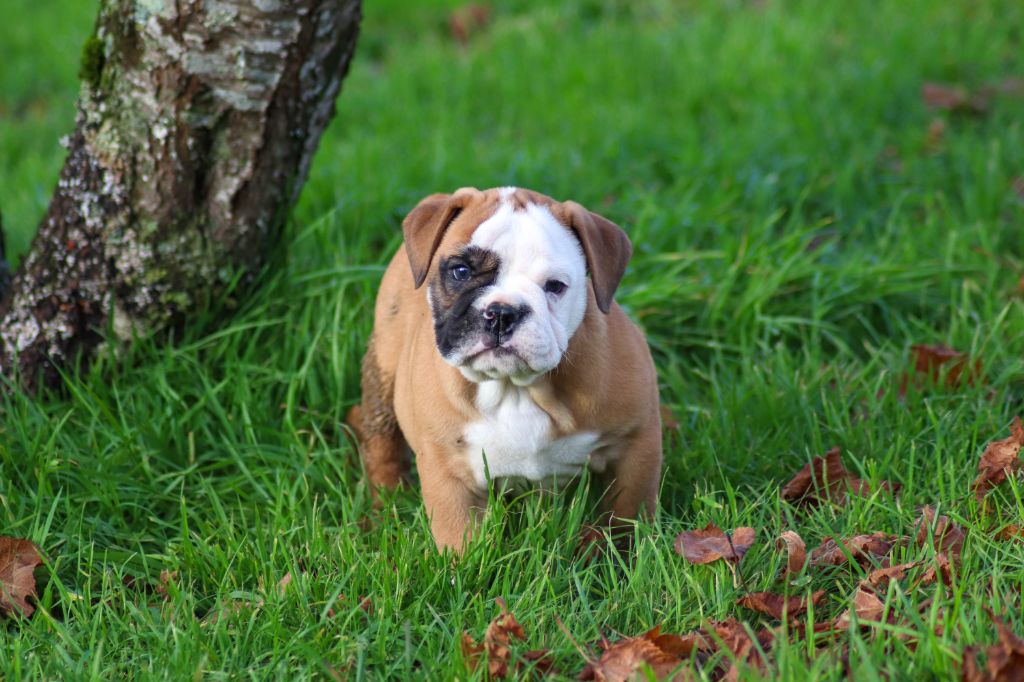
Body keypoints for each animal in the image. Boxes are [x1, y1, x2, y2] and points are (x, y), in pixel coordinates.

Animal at [349, 187, 662, 552]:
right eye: (460, 271)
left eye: (555, 286)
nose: (501, 313)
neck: (517, 387)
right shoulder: (448, 473)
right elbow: (457, 537)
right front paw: (461, 565)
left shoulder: (637, 444)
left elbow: (627, 512)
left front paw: (621, 551)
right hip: (383, 369)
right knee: (381, 442)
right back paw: (385, 506)